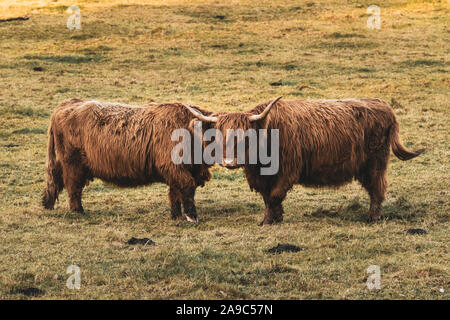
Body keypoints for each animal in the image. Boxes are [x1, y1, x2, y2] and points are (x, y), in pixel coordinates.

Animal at [185, 97, 424, 225]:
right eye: (220, 136)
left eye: (245, 137)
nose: (229, 161)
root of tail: (385, 107)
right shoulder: (262, 177)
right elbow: (267, 198)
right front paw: (273, 218)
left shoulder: (288, 170)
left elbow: (274, 195)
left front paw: (270, 221)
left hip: (375, 163)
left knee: (377, 189)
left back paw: (372, 217)